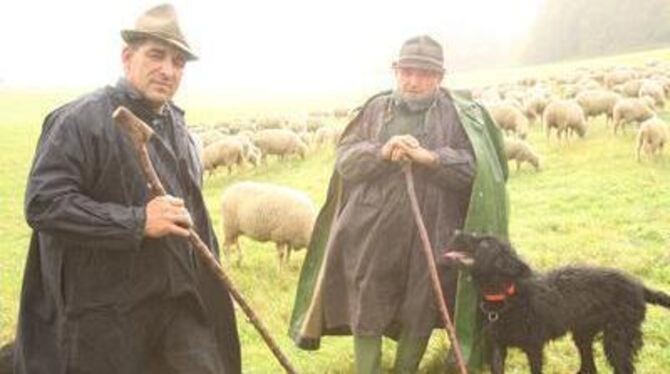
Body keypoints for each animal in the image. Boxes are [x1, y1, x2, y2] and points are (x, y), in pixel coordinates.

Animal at [446, 232, 670, 374]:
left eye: (484, 244)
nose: (455, 232)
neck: (506, 295)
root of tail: (639, 285)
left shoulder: (534, 347)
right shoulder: (498, 347)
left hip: (618, 339)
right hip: (583, 334)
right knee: (589, 368)